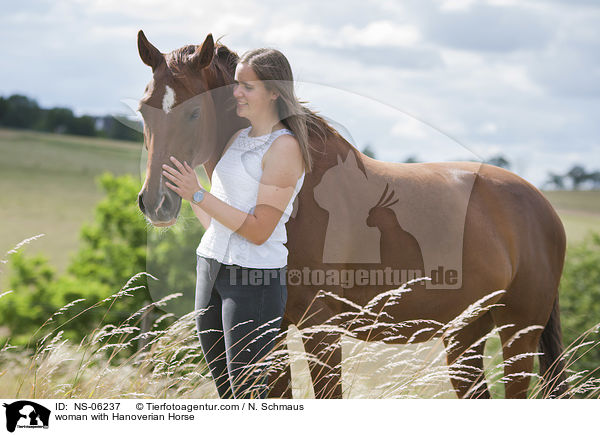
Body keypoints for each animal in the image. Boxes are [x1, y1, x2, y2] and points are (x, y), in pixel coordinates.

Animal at [135, 29, 568, 398]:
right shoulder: (274, 333)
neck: (301, 194)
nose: (156, 202)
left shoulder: (321, 329)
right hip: (466, 334)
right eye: (144, 110)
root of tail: (541, 204)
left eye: (193, 113)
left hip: (517, 334)